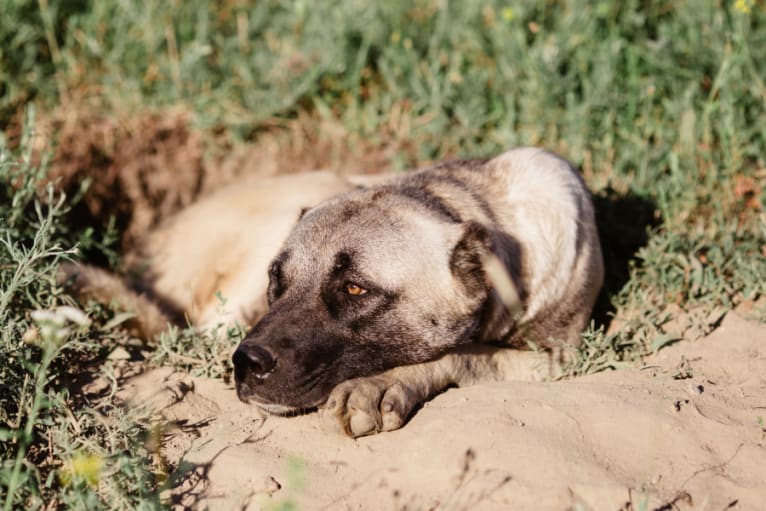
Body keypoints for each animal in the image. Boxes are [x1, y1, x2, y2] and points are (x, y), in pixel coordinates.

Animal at [61, 149, 608, 440]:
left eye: (354, 288)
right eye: (277, 281)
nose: (247, 365)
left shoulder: (555, 355)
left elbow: (466, 352)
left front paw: (381, 383)